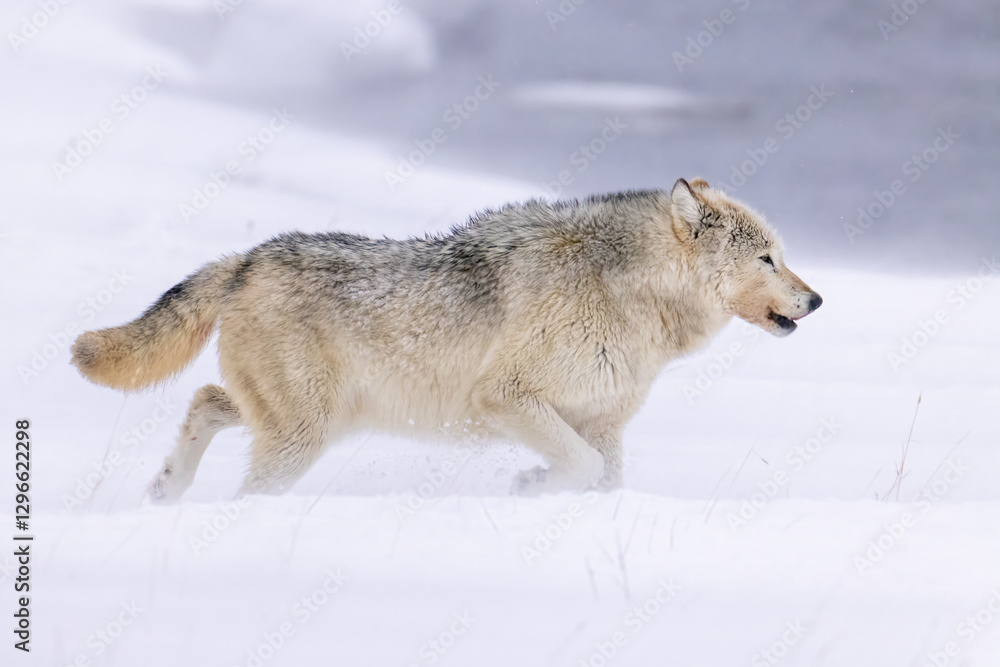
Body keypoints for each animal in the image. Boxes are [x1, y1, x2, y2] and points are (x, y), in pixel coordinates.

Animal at [71, 178, 821, 502]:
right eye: (768, 260)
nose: (816, 300)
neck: (627, 293)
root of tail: (248, 257)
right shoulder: (508, 397)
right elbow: (578, 467)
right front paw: (530, 482)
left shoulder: (600, 421)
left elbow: (602, 479)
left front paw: (540, 488)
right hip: (301, 438)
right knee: (244, 478)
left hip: (301, 420)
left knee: (203, 398)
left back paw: (167, 487)